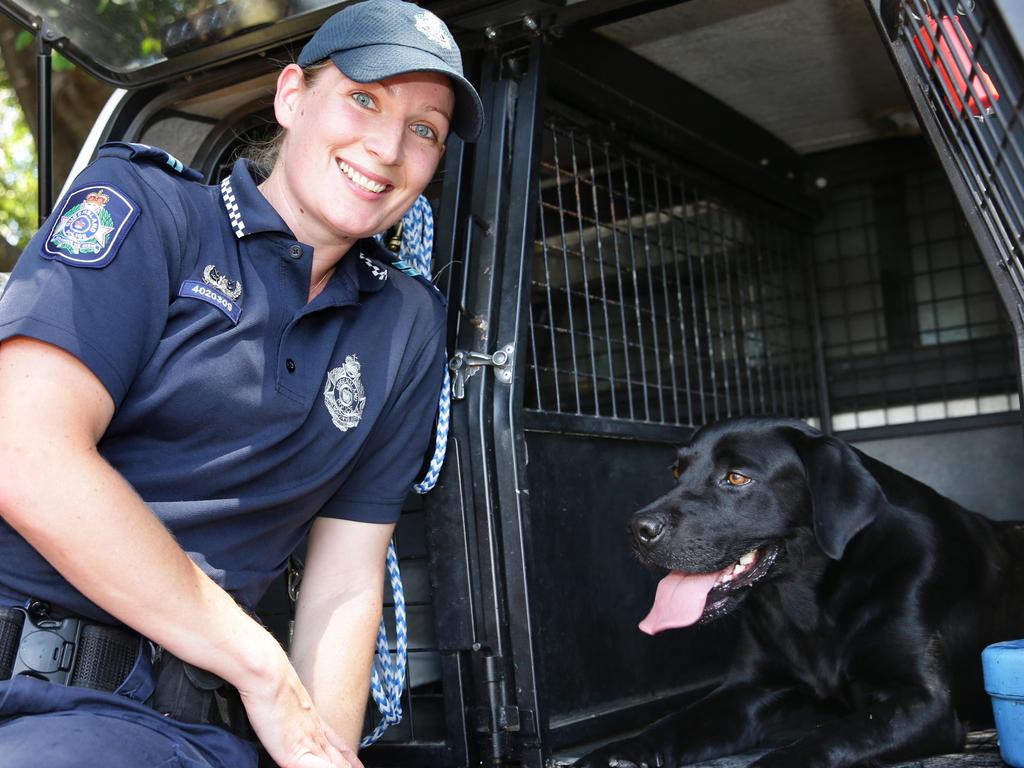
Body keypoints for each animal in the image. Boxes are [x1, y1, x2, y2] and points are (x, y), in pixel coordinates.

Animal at [577, 421, 1024, 768]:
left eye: (736, 477)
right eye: (675, 472)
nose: (637, 529)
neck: (810, 601)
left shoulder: (923, 701)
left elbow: (831, 736)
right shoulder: (751, 689)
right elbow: (676, 721)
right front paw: (617, 752)